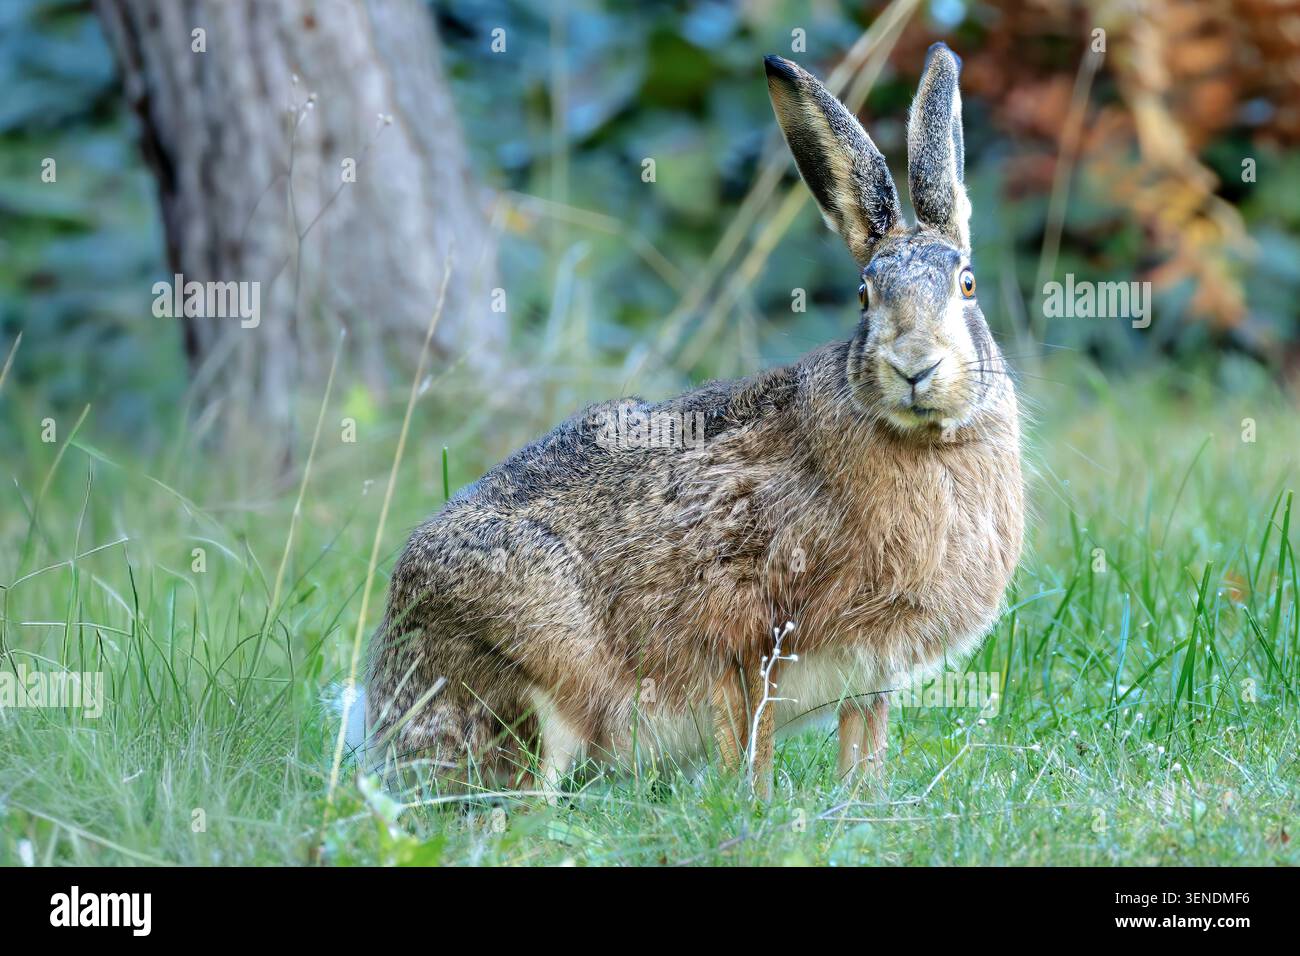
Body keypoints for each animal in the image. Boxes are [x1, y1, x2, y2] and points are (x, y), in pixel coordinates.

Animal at [363, 43, 1024, 800]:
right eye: (865, 297)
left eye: (966, 285)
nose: (915, 366)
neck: (927, 443)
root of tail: (376, 710)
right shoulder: (748, 635)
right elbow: (750, 742)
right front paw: (756, 809)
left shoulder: (869, 673)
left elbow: (863, 746)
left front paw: (863, 804)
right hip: (531, 671)